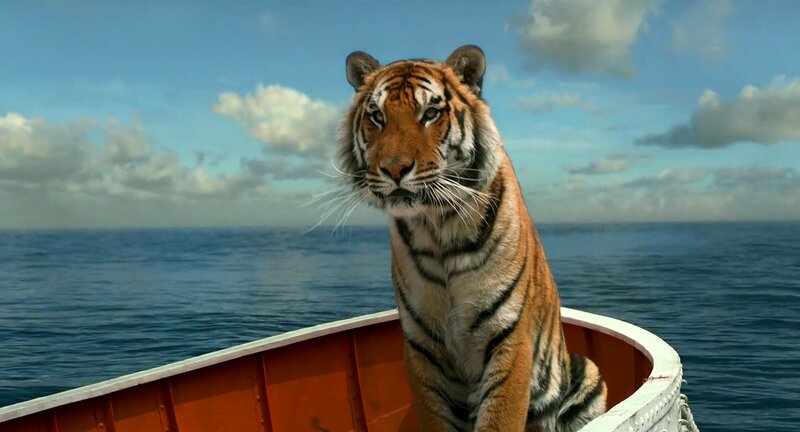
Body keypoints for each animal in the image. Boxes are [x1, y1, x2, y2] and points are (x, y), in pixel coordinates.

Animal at [336, 45, 607, 432]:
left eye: (430, 113)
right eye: (376, 116)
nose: (394, 169)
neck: (438, 228)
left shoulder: (508, 336)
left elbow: (501, 418)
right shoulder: (423, 346)